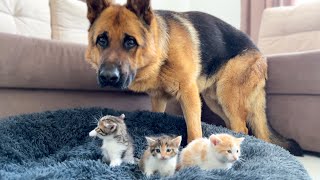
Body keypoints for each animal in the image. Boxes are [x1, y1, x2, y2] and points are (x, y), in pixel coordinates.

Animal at [84, 0, 302, 156]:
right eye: (101, 40)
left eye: (130, 42)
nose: (108, 77)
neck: (163, 51)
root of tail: (259, 53)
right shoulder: (158, 99)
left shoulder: (189, 95)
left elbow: (194, 130)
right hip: (216, 101)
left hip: (227, 95)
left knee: (243, 128)